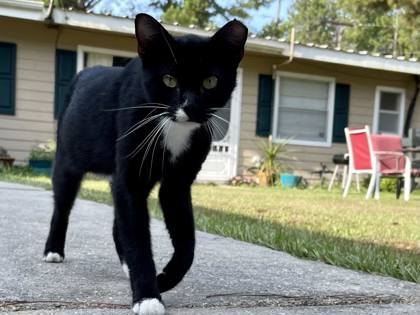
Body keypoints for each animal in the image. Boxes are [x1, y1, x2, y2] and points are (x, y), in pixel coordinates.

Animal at [42, 12, 246, 315]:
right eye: (169, 80)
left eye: (210, 82)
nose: (189, 107)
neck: (173, 128)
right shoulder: (130, 177)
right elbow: (138, 237)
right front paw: (148, 296)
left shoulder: (177, 183)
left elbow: (186, 241)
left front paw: (164, 278)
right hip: (68, 159)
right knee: (63, 205)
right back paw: (53, 249)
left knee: (119, 222)